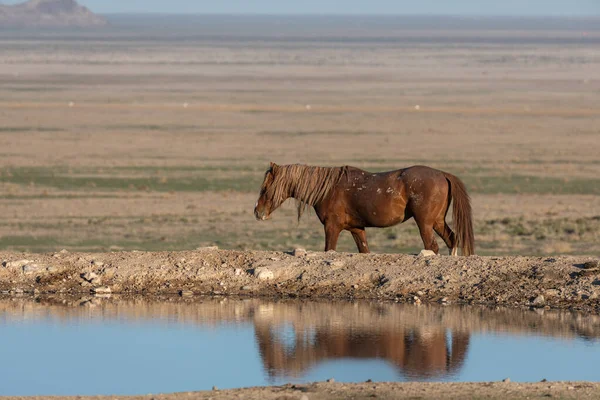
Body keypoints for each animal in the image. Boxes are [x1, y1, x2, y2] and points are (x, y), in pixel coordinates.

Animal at [253, 162, 474, 256]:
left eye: (265, 188)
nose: (257, 212)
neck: (328, 189)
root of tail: (443, 174)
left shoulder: (332, 227)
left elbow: (329, 249)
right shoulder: (357, 229)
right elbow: (364, 250)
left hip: (425, 223)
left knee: (433, 247)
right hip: (437, 221)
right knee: (452, 239)